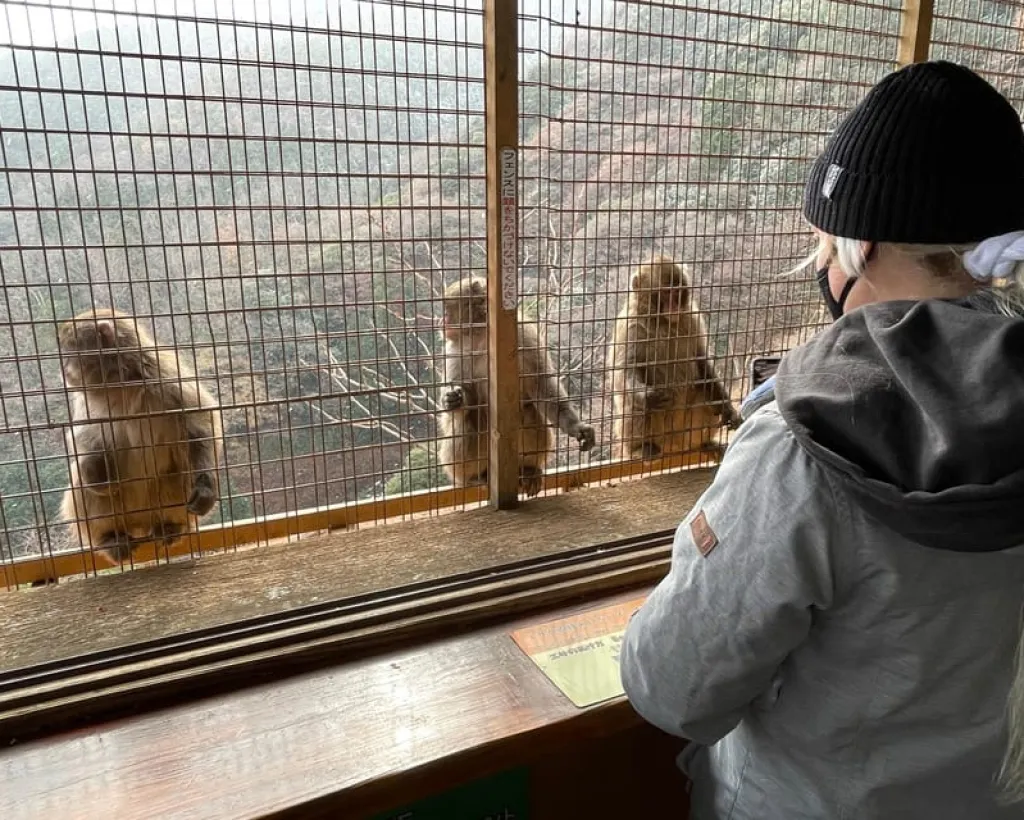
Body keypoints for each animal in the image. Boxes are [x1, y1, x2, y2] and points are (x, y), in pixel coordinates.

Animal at [57, 308, 223, 563]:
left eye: (68, 353)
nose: (63, 369)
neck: (120, 384)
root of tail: (140, 523)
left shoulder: (165, 378)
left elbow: (199, 423)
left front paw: (205, 485)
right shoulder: (85, 398)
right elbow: (83, 436)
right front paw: (92, 470)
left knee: (176, 474)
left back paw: (170, 527)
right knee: (81, 485)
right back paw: (109, 538)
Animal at [436, 276, 596, 497]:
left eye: (446, 310)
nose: (441, 321)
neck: (481, 333)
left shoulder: (524, 335)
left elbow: (542, 383)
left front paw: (575, 426)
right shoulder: (455, 350)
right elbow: (460, 406)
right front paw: (453, 400)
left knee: (527, 413)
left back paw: (529, 469)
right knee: (469, 424)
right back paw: (474, 477)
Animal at [607, 256, 739, 462]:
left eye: (677, 292)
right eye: (666, 293)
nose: (675, 306)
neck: (662, 321)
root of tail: (672, 447)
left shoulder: (692, 317)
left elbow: (701, 361)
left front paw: (727, 408)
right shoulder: (630, 326)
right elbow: (625, 369)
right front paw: (647, 396)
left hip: (685, 431)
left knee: (703, 393)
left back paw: (704, 443)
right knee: (634, 405)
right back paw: (640, 448)